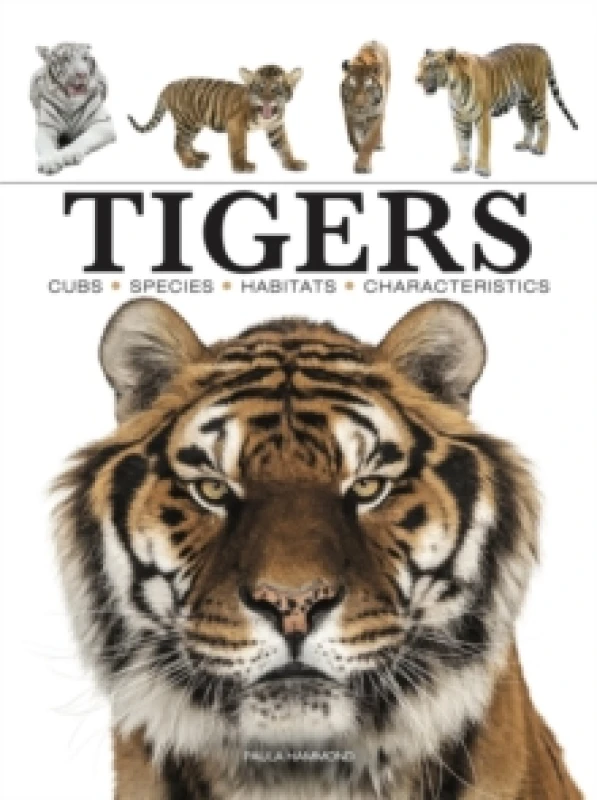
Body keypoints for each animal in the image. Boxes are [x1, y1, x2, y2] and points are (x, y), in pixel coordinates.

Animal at [30, 42, 116, 175]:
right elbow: (46, 145)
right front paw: (50, 162)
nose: (83, 74)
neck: (70, 101)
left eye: (85, 58)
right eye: (66, 59)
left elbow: (83, 139)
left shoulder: (102, 123)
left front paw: (69, 154)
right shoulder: (47, 127)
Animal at [128, 65, 306, 172]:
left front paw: (293, 163)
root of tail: (168, 86)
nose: (266, 100)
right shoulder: (235, 125)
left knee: (186, 142)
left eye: (276, 89)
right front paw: (241, 165)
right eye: (259, 88)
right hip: (186, 122)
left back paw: (197, 155)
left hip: (194, 123)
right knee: (179, 143)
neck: (266, 116)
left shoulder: (276, 128)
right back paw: (190, 163)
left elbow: (284, 147)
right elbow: (239, 147)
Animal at [341, 41, 390, 173]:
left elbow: (369, 141)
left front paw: (362, 165)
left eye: (368, 87)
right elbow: (353, 137)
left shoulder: (377, 114)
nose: (359, 106)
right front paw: (358, 149)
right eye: (352, 86)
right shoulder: (349, 113)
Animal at [415, 44, 578, 177]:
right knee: (529, 123)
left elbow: (483, 144)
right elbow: (462, 143)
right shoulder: (460, 120)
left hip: (536, 98)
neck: (453, 88)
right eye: (420, 65)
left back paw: (539, 149)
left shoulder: (483, 118)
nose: (416, 79)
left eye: (431, 66)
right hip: (523, 104)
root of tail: (541, 48)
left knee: (545, 123)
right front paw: (463, 165)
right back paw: (524, 144)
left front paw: (482, 169)